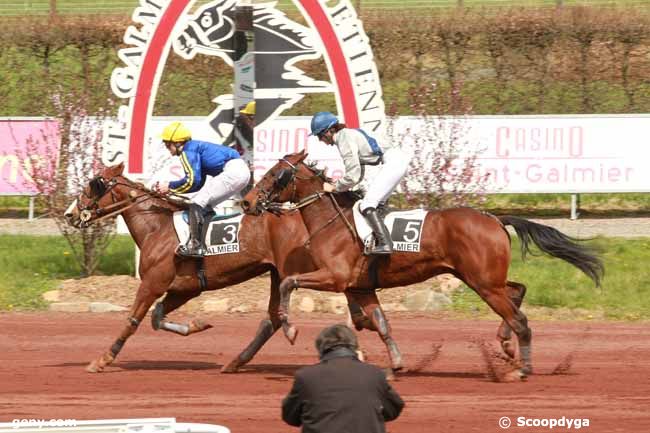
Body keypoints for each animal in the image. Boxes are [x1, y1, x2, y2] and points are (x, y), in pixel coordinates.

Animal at [63, 162, 324, 372]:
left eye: (93, 184)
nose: (69, 214)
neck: (156, 227)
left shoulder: (152, 284)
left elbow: (132, 321)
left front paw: (103, 360)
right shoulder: (185, 289)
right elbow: (157, 317)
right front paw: (198, 324)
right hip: (276, 273)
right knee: (273, 318)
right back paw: (236, 362)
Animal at [239, 151, 604, 378]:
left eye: (274, 174)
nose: (247, 201)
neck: (331, 220)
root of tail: (494, 218)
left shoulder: (335, 277)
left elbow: (287, 282)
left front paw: (290, 329)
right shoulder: (360, 286)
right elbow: (381, 323)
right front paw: (396, 365)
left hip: (483, 283)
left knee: (521, 320)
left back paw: (522, 367)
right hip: (485, 279)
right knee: (518, 291)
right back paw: (505, 343)